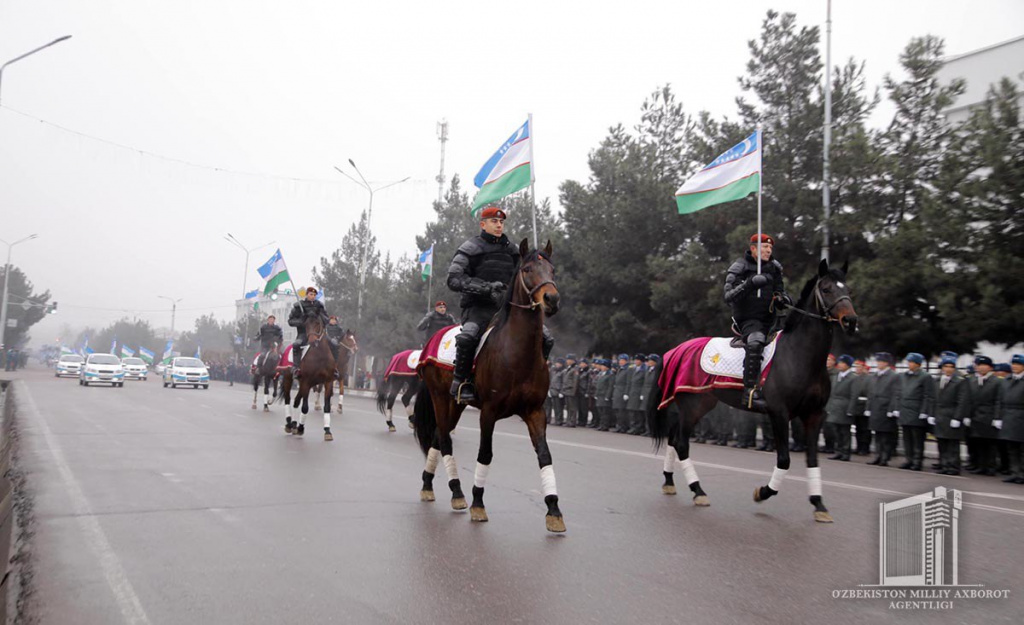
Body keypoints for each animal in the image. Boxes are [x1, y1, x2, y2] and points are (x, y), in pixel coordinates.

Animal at [411, 238, 565, 528]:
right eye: (527, 269)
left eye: (553, 270)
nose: (551, 299)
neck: (517, 352)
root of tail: (430, 343)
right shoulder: (489, 412)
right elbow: (485, 454)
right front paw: (478, 503)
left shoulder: (535, 411)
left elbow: (545, 455)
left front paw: (553, 509)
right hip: (441, 398)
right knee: (444, 438)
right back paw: (457, 492)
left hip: (456, 404)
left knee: (437, 436)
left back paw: (429, 485)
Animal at [647, 258, 856, 520]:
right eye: (827, 289)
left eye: (848, 289)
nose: (851, 322)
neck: (801, 356)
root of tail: (675, 350)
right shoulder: (779, 413)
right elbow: (784, 460)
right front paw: (763, 492)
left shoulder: (814, 415)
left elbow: (812, 459)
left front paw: (818, 504)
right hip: (691, 405)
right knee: (681, 443)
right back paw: (698, 491)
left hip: (700, 403)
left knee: (674, 439)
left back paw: (669, 482)